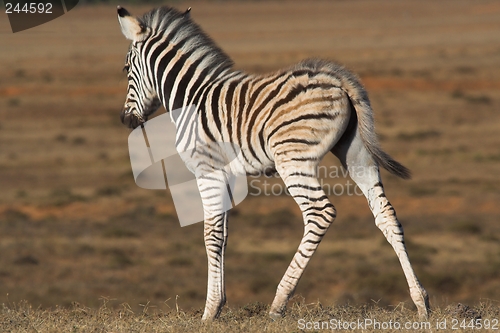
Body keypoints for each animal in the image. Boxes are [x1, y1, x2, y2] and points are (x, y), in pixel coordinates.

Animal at [116, 5, 430, 320]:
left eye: (126, 69)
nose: (126, 120)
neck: (191, 98)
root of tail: (337, 78)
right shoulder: (227, 174)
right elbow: (224, 234)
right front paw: (219, 303)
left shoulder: (207, 168)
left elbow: (211, 235)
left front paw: (209, 312)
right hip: (355, 152)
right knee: (386, 214)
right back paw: (421, 302)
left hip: (292, 159)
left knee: (320, 213)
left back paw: (279, 302)